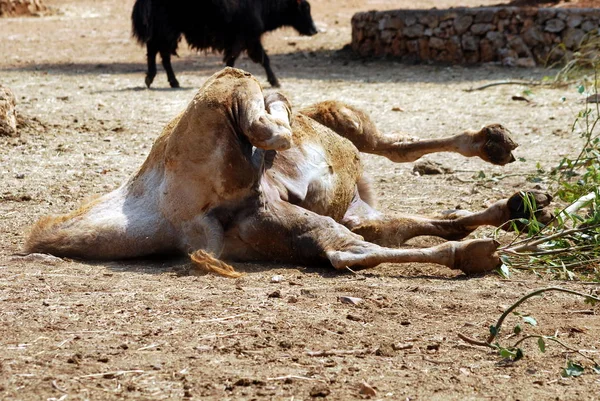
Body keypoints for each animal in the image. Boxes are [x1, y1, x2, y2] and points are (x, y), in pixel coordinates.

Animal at [27, 67, 552, 276]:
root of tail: (167, 222)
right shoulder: (349, 134)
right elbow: (396, 149)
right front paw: (498, 148)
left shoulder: (357, 210)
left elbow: (431, 213)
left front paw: (527, 204)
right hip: (223, 101)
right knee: (256, 108)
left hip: (275, 223)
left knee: (347, 250)